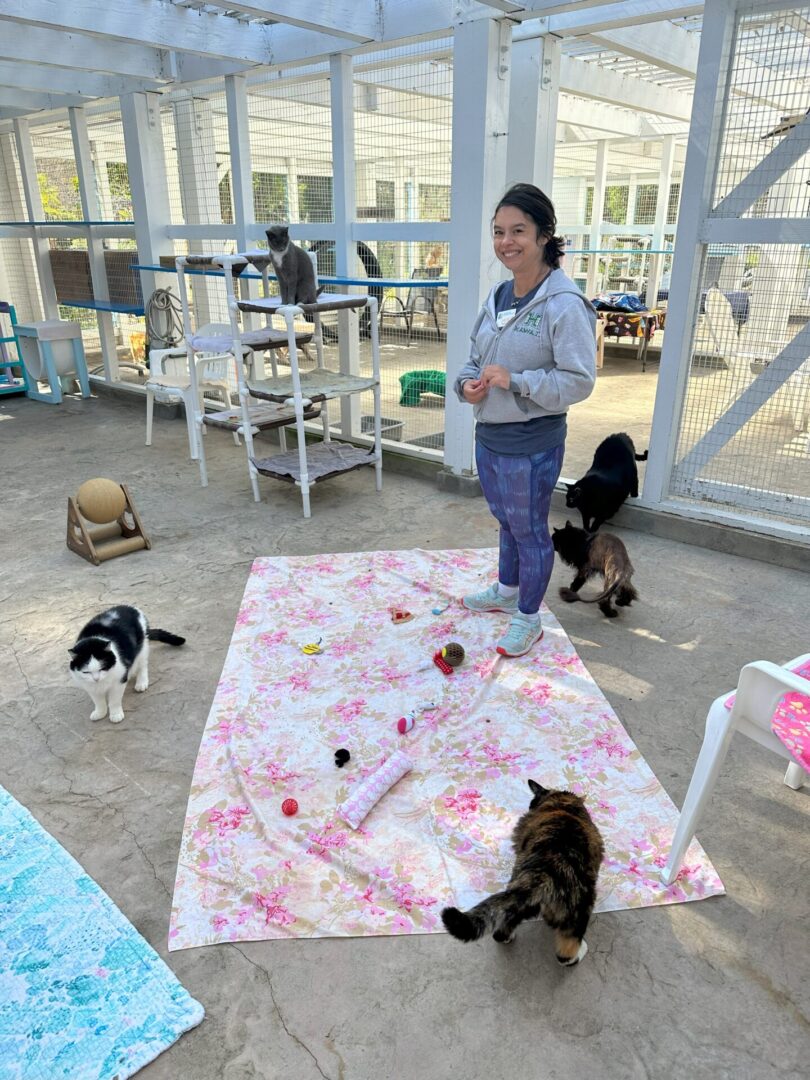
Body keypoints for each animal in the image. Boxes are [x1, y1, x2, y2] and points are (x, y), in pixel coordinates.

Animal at [440, 781, 604, 967]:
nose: (530, 807)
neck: (561, 805)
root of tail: (542, 876)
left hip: (516, 903)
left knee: (500, 932)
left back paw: (508, 936)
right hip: (580, 907)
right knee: (566, 952)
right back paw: (580, 951)